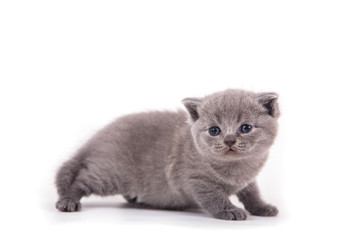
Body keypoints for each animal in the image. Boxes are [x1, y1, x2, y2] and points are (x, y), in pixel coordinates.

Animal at [54, 89, 280, 220]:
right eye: (215, 130)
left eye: (246, 128)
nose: (230, 140)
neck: (237, 168)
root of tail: (99, 135)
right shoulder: (196, 180)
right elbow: (214, 196)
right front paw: (229, 210)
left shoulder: (248, 180)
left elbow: (252, 194)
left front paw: (262, 208)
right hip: (110, 173)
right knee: (81, 180)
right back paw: (68, 201)